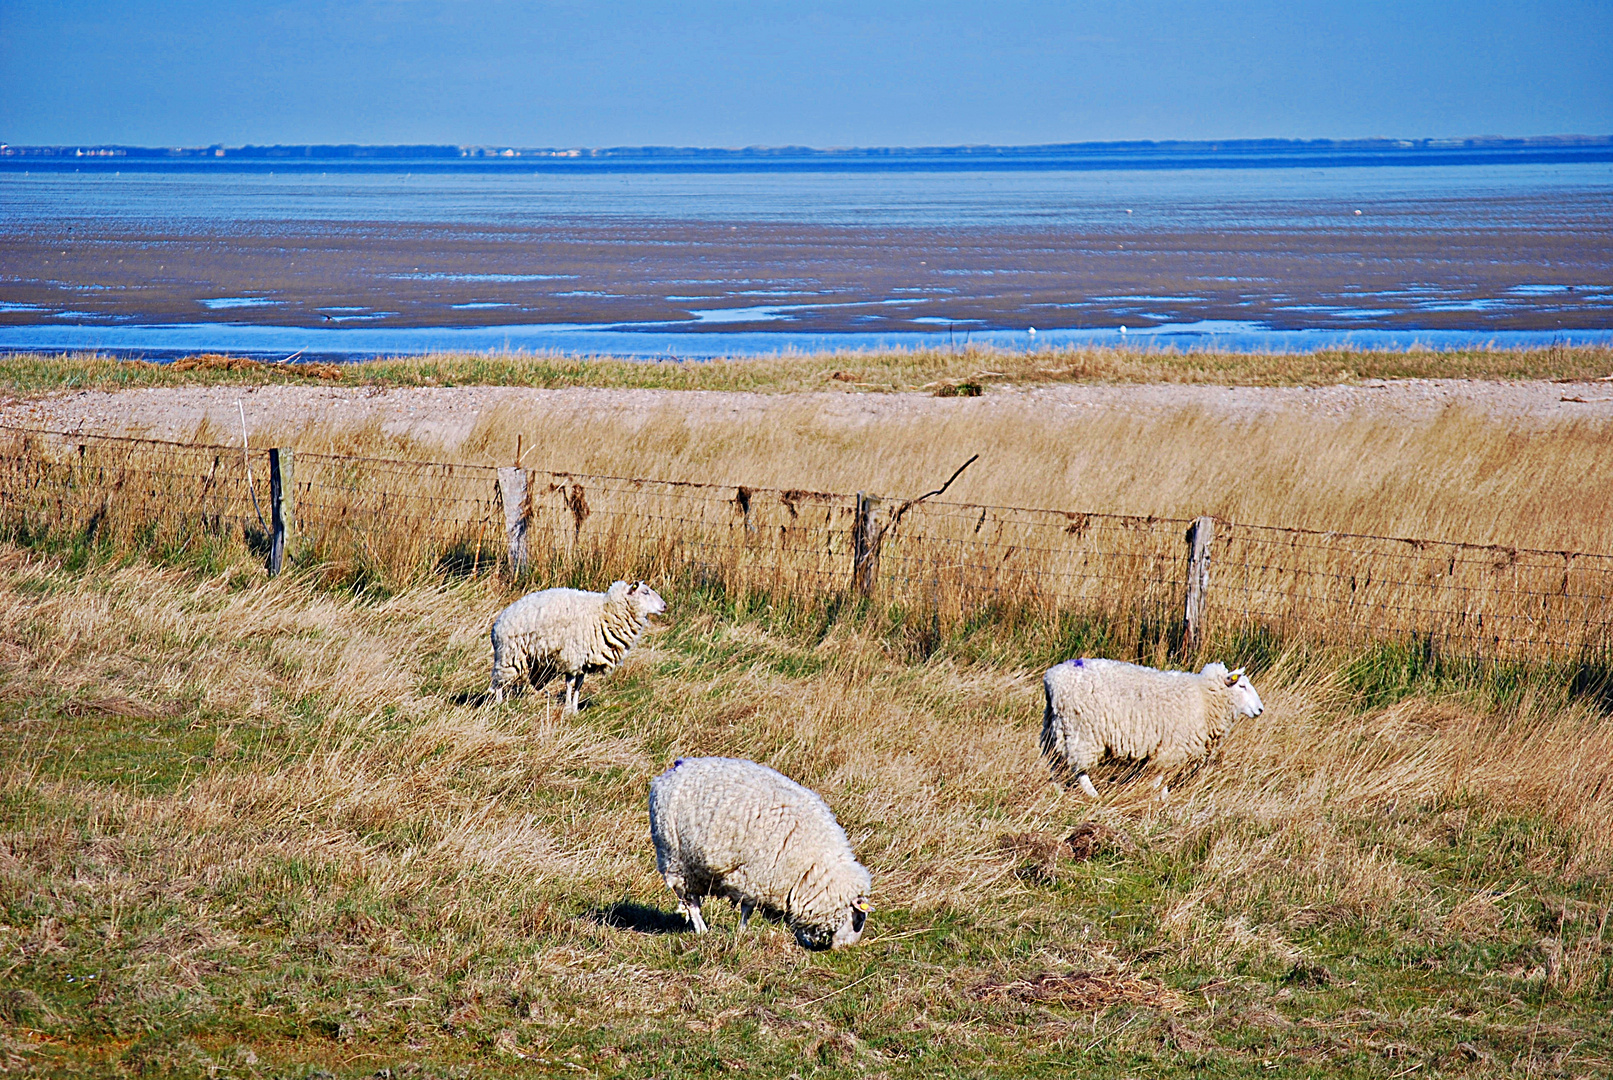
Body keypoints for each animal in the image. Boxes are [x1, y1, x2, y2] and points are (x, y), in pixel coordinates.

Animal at [490, 580, 667, 715]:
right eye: (645, 592)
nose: (664, 606)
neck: (606, 612)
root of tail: (497, 623)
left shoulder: (585, 661)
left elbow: (578, 685)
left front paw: (575, 709)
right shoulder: (572, 657)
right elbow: (570, 683)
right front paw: (568, 708)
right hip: (509, 654)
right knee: (499, 680)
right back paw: (500, 704)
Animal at [641, 757, 877, 954]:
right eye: (858, 920)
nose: (844, 951)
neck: (817, 866)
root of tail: (675, 768)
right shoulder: (755, 875)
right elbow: (747, 909)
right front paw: (742, 932)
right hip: (676, 859)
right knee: (690, 901)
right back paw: (702, 930)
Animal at [1038, 654, 1264, 799]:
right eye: (1242, 686)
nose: (1260, 710)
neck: (1205, 697)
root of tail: (1051, 678)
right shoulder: (1171, 748)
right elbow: (1160, 778)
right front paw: (1159, 797)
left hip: (1056, 727)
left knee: (1055, 763)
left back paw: (1059, 791)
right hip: (1082, 731)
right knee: (1078, 769)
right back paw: (1094, 795)